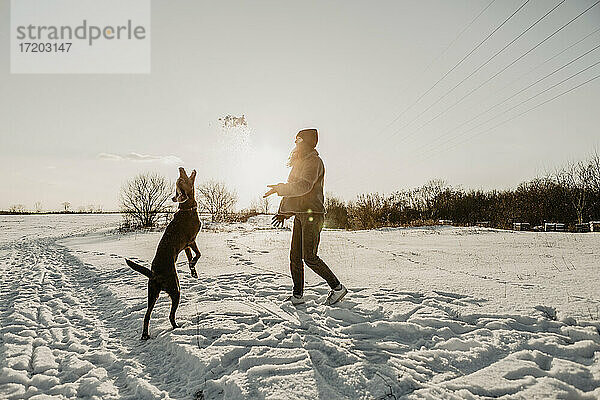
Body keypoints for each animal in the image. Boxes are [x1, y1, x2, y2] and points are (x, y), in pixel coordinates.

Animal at [125, 167, 203, 340]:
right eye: (182, 179)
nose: (181, 168)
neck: (187, 208)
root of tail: (155, 274)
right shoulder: (191, 240)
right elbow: (198, 255)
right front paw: (193, 265)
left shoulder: (185, 246)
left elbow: (190, 258)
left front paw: (193, 272)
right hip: (175, 290)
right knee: (170, 315)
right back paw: (176, 327)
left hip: (152, 293)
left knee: (147, 315)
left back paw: (145, 335)